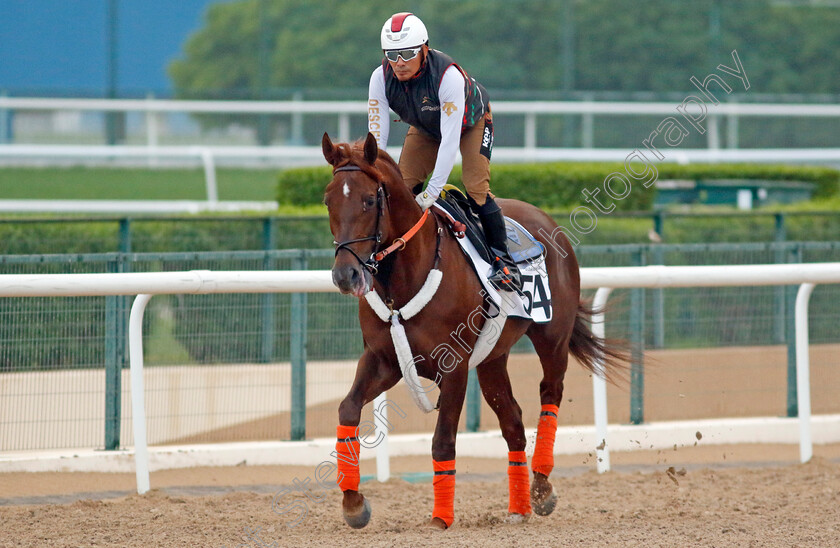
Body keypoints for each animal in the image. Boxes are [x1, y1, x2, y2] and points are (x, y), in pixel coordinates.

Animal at [322, 131, 624, 528]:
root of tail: (546, 220)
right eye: (328, 199)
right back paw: (518, 508)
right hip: (493, 358)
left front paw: (440, 518)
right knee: (513, 422)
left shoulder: (455, 367)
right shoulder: (383, 359)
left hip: (552, 339)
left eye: (369, 200)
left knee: (550, 394)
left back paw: (541, 488)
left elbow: (443, 440)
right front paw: (354, 503)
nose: (346, 275)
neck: (405, 277)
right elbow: (347, 410)